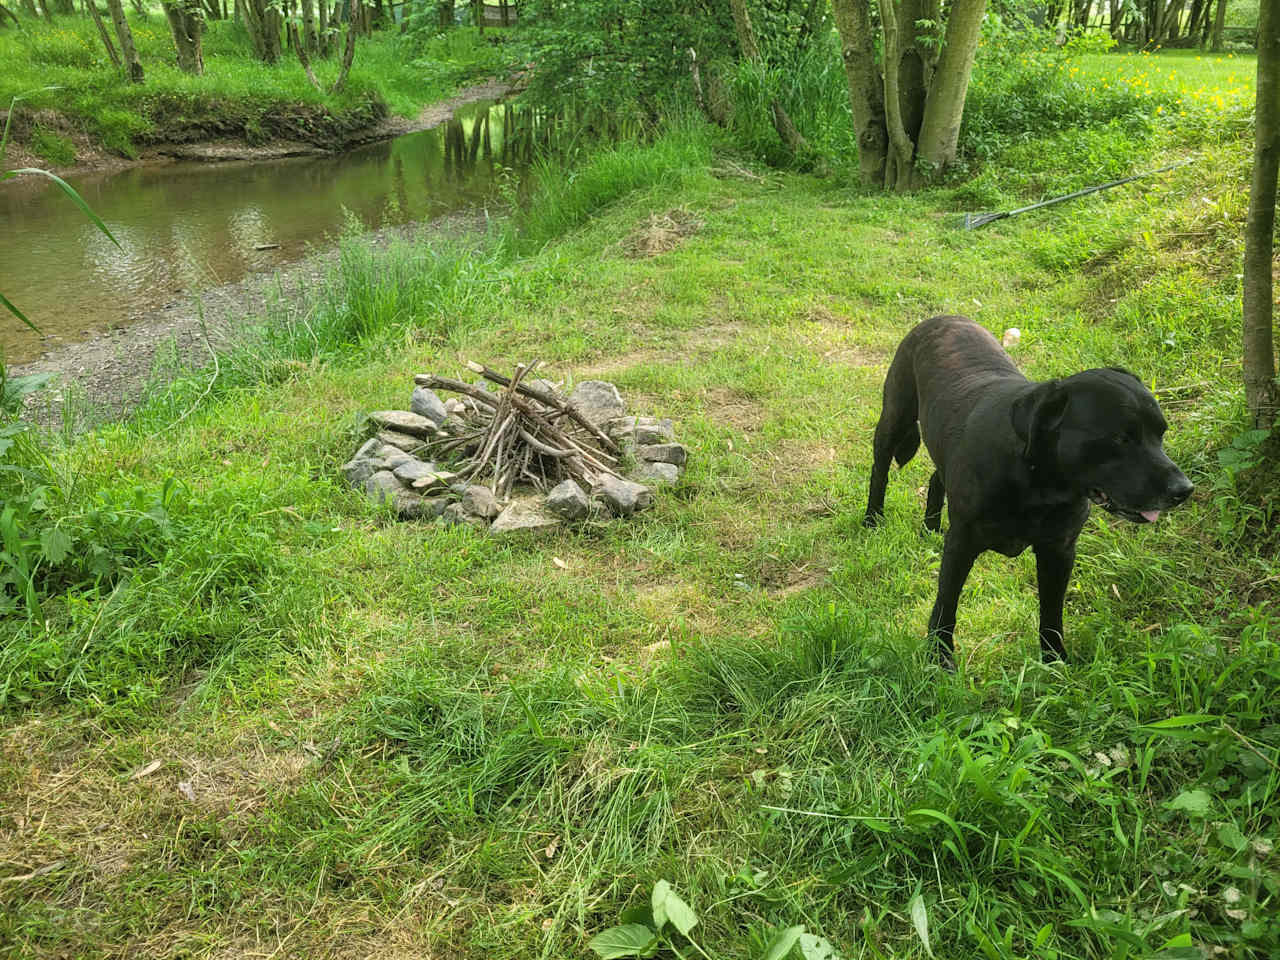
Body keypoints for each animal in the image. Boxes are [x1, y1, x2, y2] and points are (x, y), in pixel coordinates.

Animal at [865, 320, 1192, 665]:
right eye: (1121, 438)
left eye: (1161, 433)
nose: (1183, 489)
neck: (1038, 484)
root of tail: (941, 318)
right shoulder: (962, 545)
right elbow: (946, 605)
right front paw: (940, 656)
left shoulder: (1059, 551)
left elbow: (1051, 614)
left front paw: (1055, 662)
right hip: (894, 417)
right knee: (880, 472)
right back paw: (872, 518)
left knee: (935, 478)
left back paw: (930, 527)